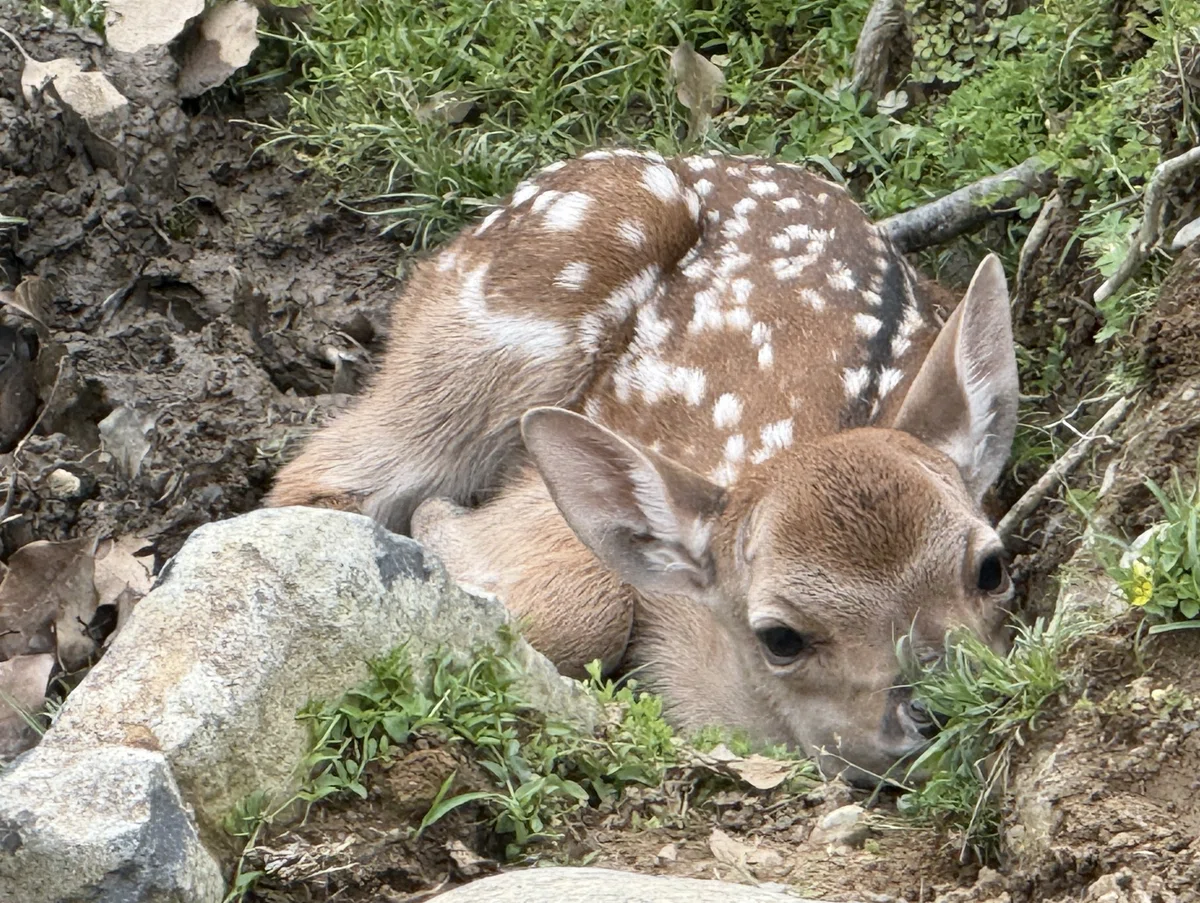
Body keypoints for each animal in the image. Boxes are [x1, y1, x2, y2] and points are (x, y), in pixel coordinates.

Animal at [264, 148, 1020, 783]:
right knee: (320, 477)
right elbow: (579, 603)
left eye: (992, 566)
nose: (938, 703)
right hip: (496, 333)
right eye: (780, 637)